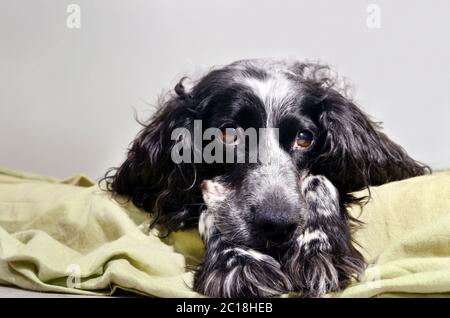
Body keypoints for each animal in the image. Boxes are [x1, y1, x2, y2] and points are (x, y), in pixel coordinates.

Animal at [103, 58, 428, 296]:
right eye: (228, 134)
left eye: (304, 138)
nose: (278, 225)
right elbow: (213, 210)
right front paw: (238, 263)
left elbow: (320, 182)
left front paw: (319, 250)